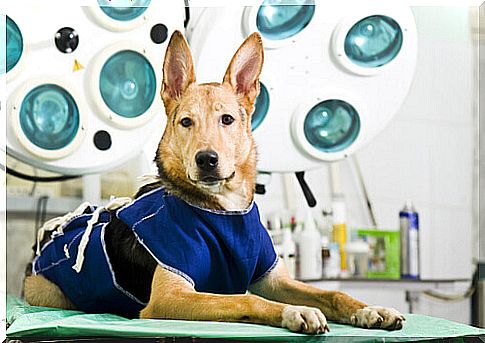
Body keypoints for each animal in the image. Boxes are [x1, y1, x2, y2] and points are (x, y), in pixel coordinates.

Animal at [23, 30, 404, 334]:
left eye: (227, 119)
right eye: (186, 122)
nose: (207, 160)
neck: (224, 209)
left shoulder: (275, 280)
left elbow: (331, 292)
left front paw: (370, 309)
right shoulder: (170, 297)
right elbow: (244, 299)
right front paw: (296, 312)